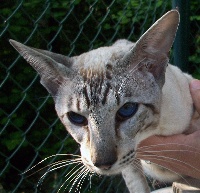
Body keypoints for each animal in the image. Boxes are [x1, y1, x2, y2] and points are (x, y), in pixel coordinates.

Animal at [9, 10, 197, 193]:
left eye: (127, 109)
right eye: (76, 118)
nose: (103, 164)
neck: (154, 131)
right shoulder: (131, 167)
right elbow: (137, 185)